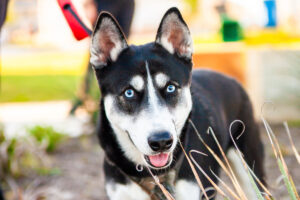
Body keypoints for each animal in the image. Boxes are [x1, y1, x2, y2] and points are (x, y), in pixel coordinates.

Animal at [89, 7, 264, 199]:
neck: (153, 175)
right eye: (129, 92)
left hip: (250, 170)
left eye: (170, 88)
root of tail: (232, 79)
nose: (161, 142)